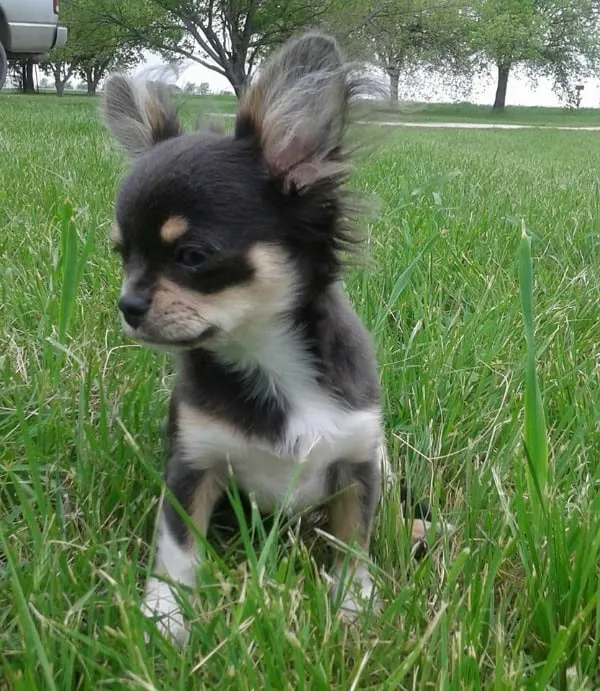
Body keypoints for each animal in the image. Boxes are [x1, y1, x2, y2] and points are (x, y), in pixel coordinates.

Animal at [102, 31, 418, 648]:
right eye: (122, 255)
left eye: (192, 256)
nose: (128, 306)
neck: (266, 358)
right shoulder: (192, 465)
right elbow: (176, 547)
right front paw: (166, 618)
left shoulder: (355, 461)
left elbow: (353, 539)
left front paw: (354, 606)